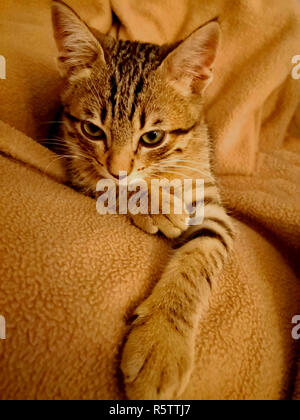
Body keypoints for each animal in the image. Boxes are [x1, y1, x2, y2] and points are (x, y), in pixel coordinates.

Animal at [51, 0, 234, 400]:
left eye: (152, 137)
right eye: (92, 130)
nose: (119, 170)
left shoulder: (212, 208)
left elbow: (201, 256)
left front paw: (162, 343)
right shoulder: (77, 164)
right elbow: (105, 183)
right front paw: (156, 205)